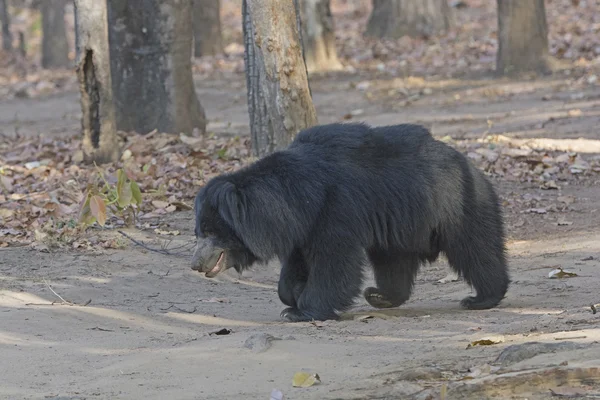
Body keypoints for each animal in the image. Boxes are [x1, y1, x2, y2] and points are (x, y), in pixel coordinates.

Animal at [190, 122, 508, 322]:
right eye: (199, 232)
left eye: (210, 231)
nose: (195, 264)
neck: (298, 196)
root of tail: (470, 163)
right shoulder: (304, 226)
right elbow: (295, 265)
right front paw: (293, 295)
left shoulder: (335, 208)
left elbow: (334, 261)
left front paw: (301, 311)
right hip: (399, 224)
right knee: (394, 263)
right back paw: (380, 296)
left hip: (455, 204)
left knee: (475, 248)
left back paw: (481, 298)